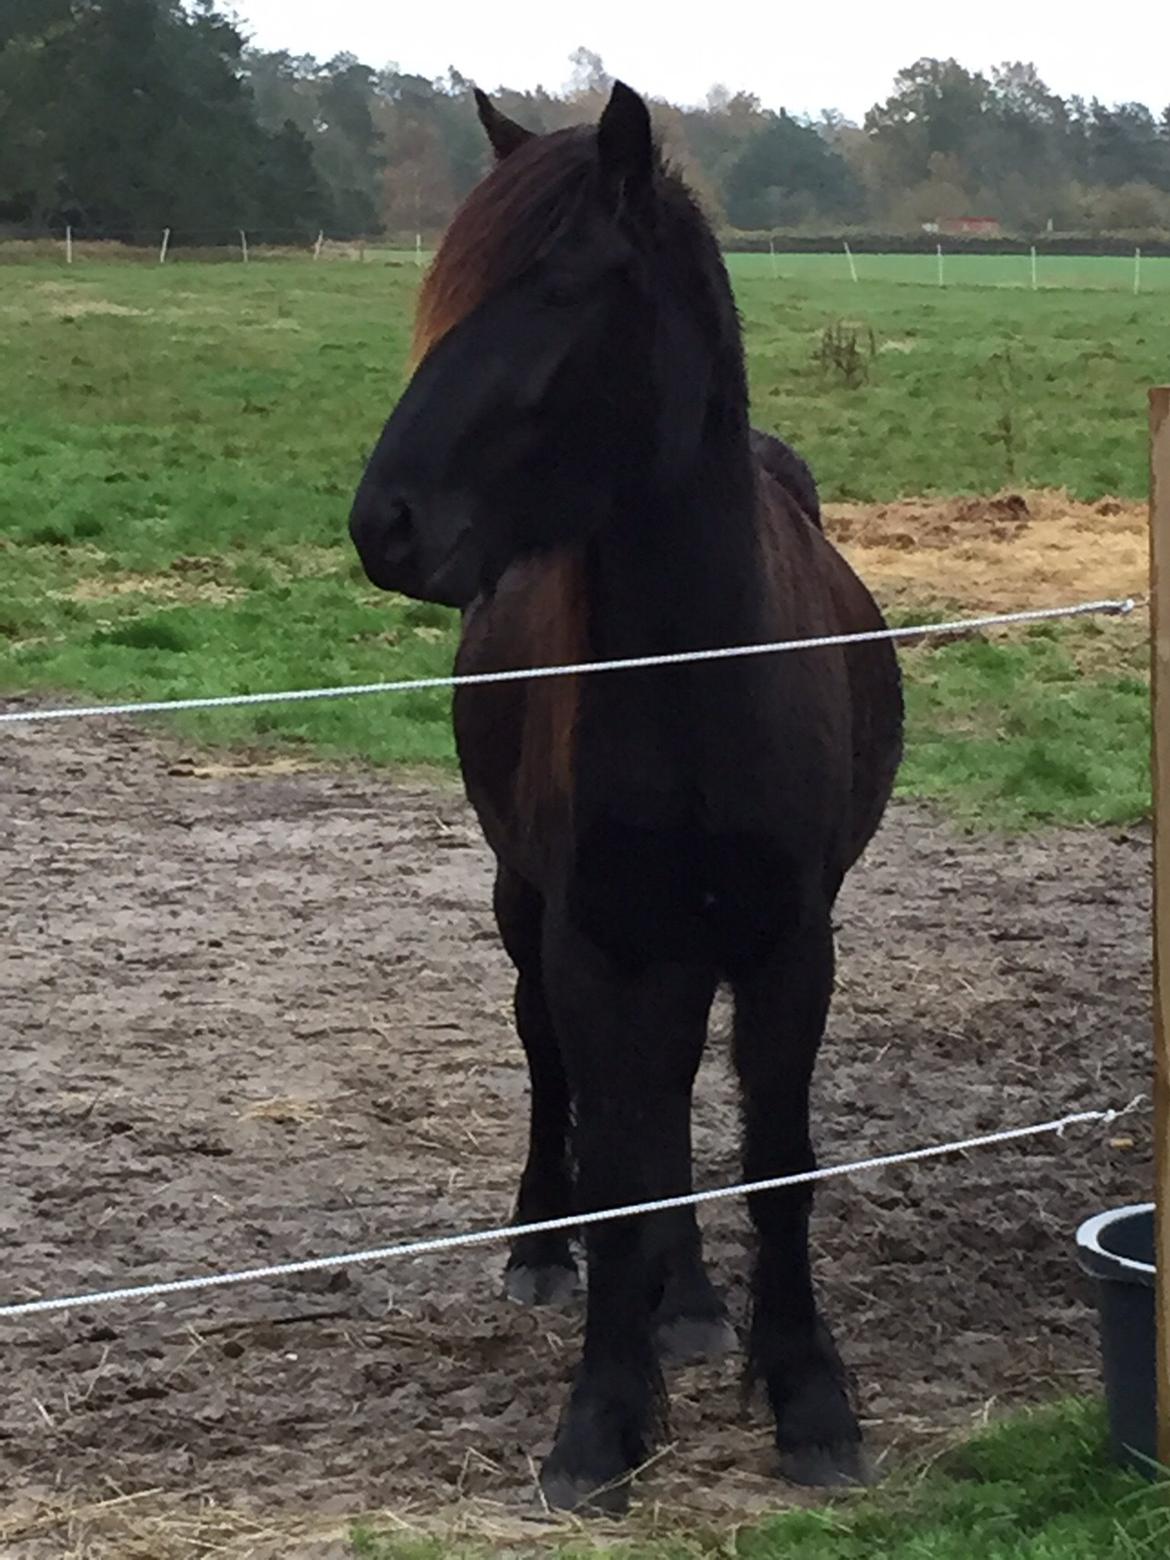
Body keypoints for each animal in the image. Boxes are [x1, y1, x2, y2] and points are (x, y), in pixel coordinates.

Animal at [349, 81, 903, 1513]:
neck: (695, 671)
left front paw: (805, 1396)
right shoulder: (590, 938)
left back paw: (692, 1300)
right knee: (569, 1079)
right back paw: (553, 1256)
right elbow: (614, 1154)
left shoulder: (786, 944)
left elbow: (773, 1160)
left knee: (674, 1106)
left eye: (559, 286)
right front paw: (601, 1418)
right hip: (531, 909)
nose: (386, 524)